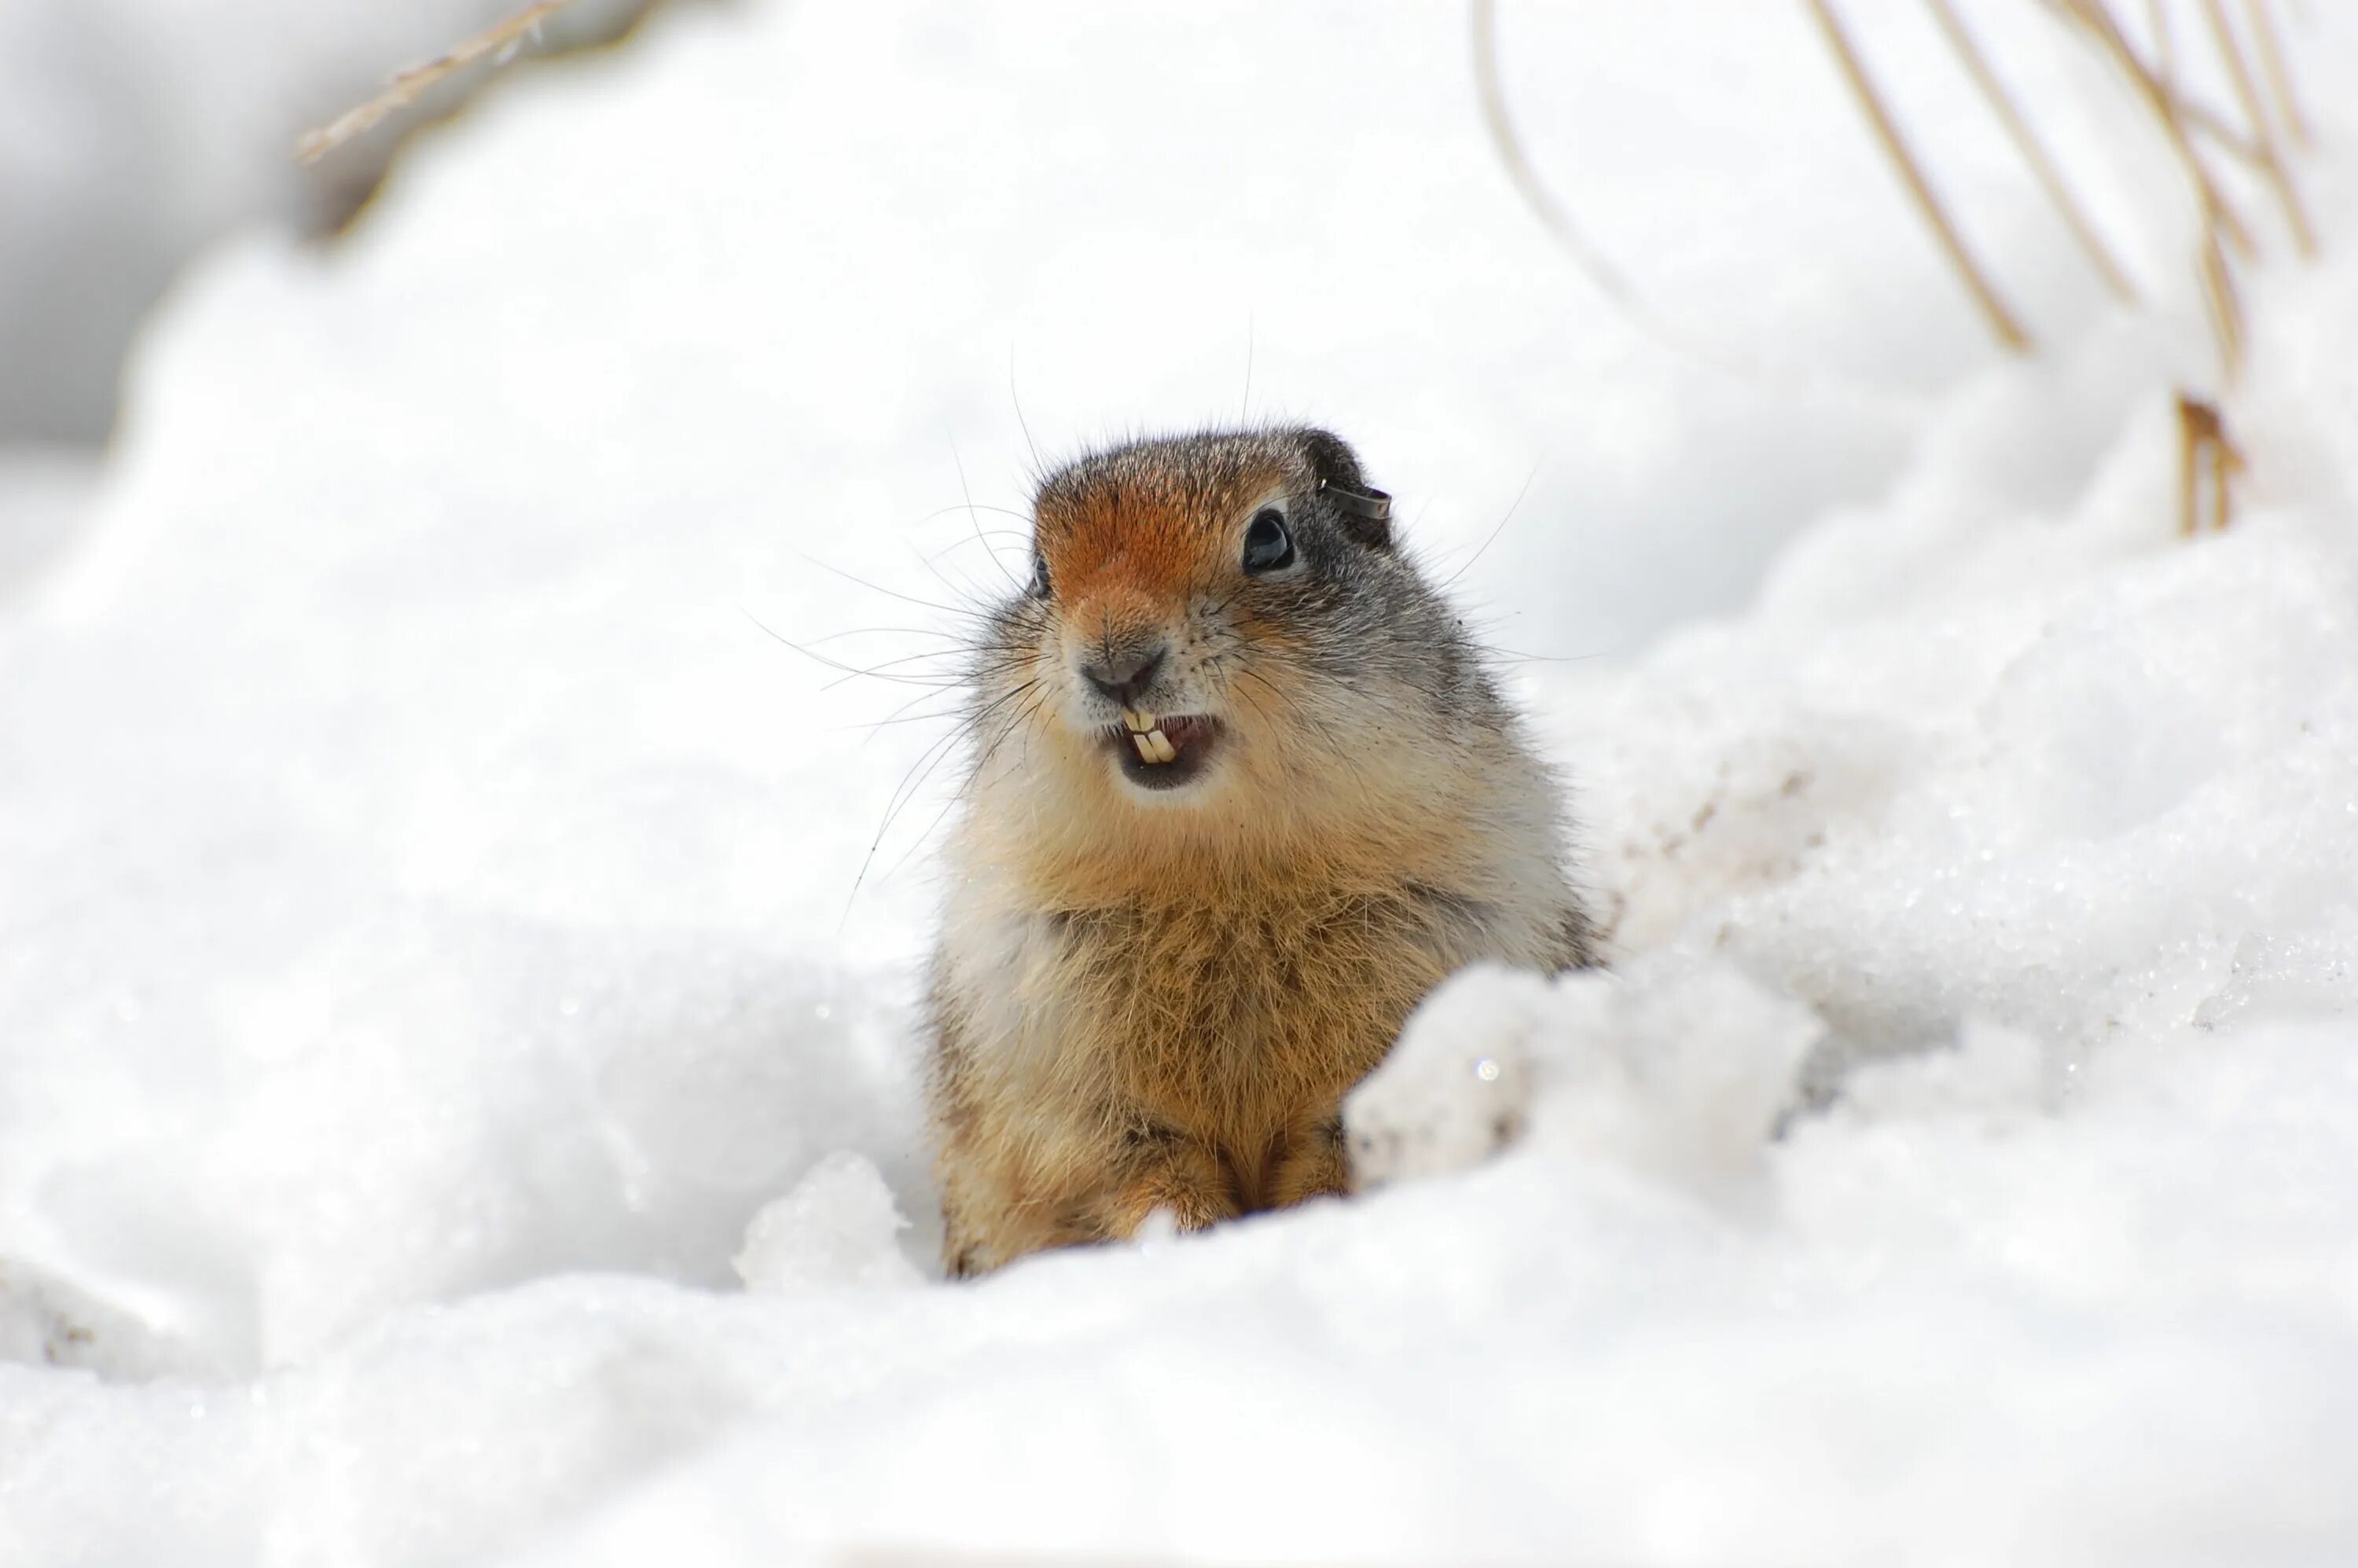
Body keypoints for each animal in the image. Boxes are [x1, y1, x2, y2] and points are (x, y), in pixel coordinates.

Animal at [920, 424, 1585, 1273]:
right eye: (1038, 572)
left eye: (1269, 539)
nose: (1116, 661)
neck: (1223, 870)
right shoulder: (1052, 1061)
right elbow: (1129, 1168)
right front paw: (1184, 1235)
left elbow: (1346, 1146)